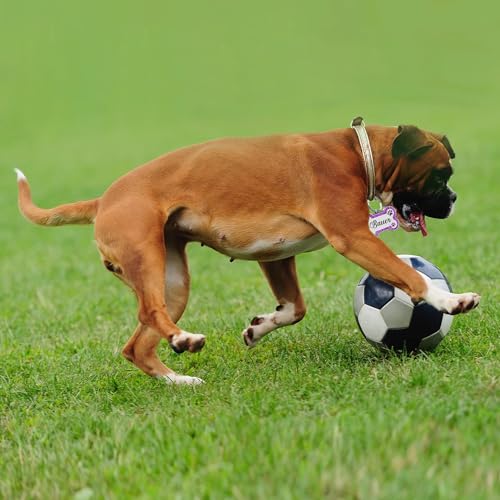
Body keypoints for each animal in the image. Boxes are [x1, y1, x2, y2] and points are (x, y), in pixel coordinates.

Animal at [15, 118, 480, 384]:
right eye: (441, 175)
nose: (455, 199)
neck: (357, 152)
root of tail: (103, 200)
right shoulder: (353, 238)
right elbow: (411, 276)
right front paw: (451, 300)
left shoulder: (276, 257)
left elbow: (294, 308)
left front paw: (259, 328)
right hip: (147, 259)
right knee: (149, 313)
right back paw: (183, 339)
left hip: (172, 280)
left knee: (138, 346)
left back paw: (178, 379)